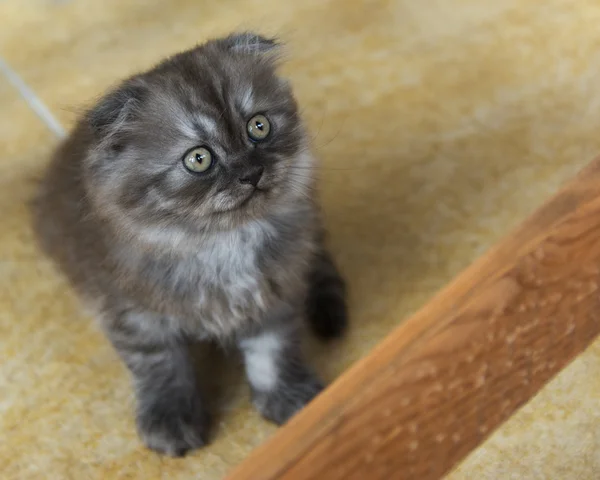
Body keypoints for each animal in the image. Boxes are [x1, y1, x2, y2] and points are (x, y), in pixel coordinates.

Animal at [32, 31, 350, 456]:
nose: (252, 173)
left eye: (259, 126)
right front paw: (170, 421)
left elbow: (273, 351)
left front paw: (288, 399)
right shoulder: (134, 313)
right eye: (198, 159)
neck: (224, 242)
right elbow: (161, 366)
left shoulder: (276, 292)